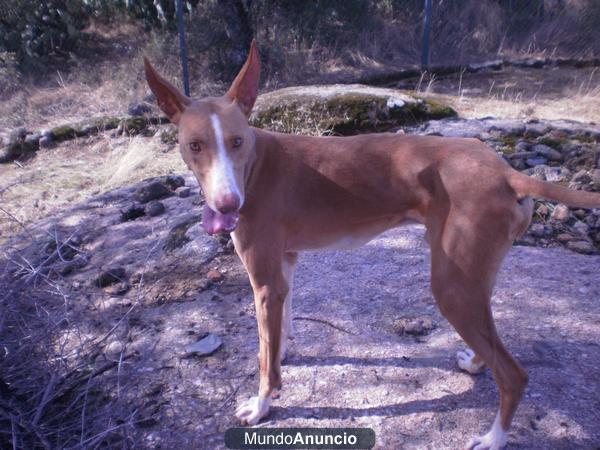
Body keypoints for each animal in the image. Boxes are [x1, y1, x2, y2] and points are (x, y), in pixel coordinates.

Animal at [145, 40, 600, 448]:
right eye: (195, 146)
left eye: (237, 142)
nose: (227, 205)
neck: (255, 166)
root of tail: (506, 171)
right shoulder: (283, 267)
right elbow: (279, 331)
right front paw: (283, 354)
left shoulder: (264, 281)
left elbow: (262, 360)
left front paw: (262, 404)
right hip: (472, 279)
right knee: (489, 342)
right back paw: (474, 363)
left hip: (451, 287)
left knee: (514, 374)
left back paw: (494, 438)